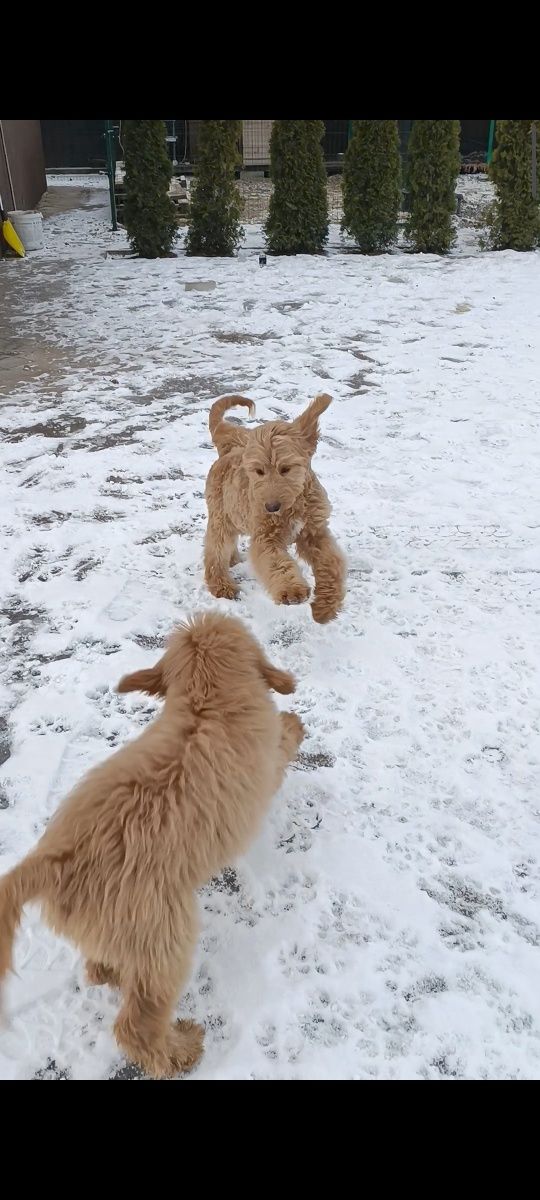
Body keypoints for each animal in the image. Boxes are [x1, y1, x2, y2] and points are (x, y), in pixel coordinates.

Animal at [0, 614, 303, 1084]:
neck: (206, 700)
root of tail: (54, 861)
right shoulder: (265, 769)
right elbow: (283, 745)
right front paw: (294, 722)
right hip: (164, 938)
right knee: (136, 1025)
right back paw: (180, 1051)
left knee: (101, 966)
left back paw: (107, 971)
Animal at [202, 393, 345, 624]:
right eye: (259, 471)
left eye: (286, 469)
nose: (271, 507)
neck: (295, 506)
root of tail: (229, 447)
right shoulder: (266, 538)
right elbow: (277, 563)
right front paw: (292, 590)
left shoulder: (314, 532)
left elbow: (331, 563)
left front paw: (326, 606)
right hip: (220, 516)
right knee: (214, 551)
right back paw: (222, 585)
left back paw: (233, 559)